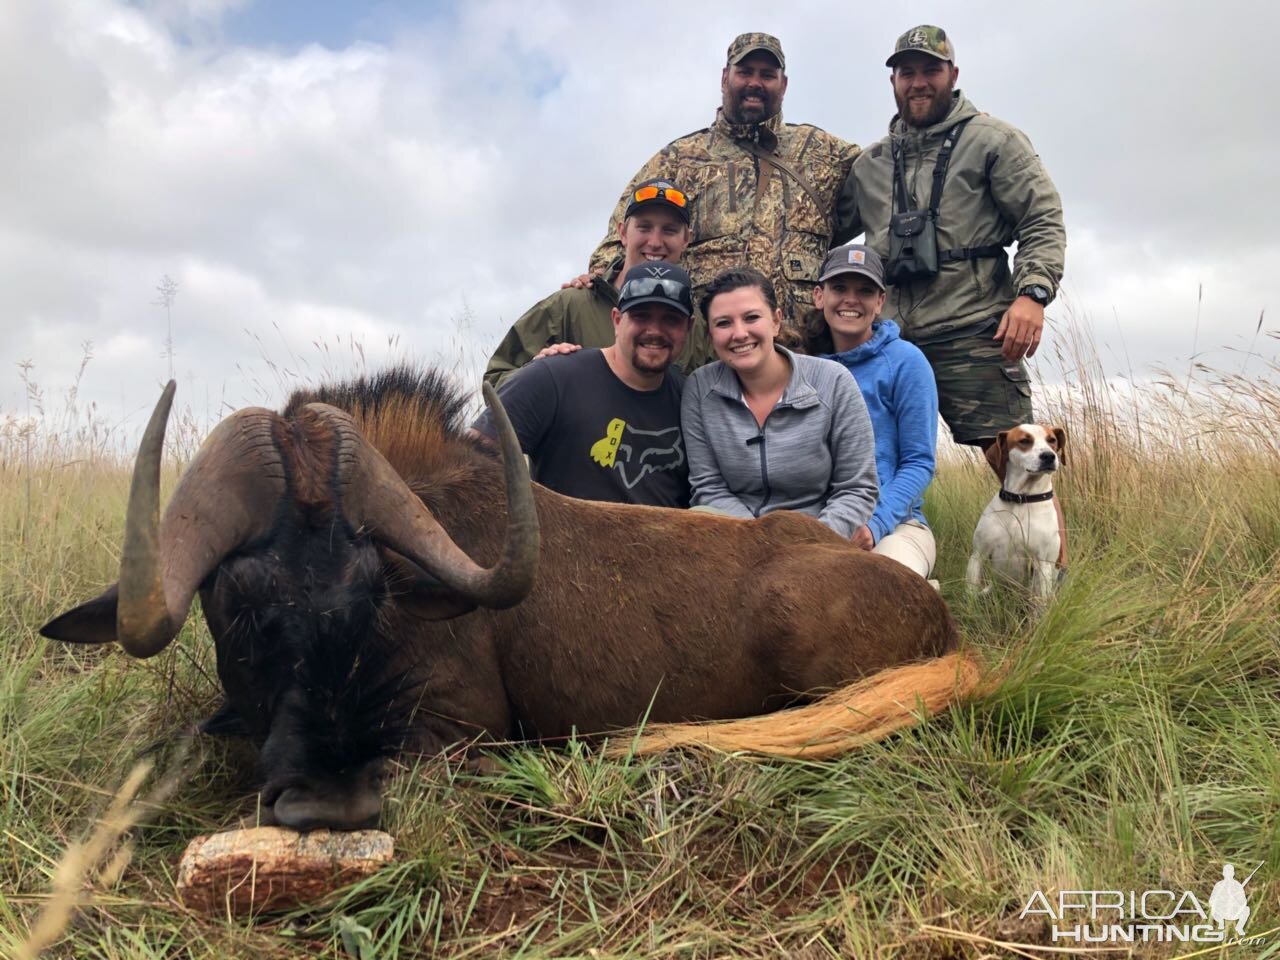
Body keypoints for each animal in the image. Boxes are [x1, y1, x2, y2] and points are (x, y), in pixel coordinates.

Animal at [962, 427, 1064, 601]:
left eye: (1052, 440)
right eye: (1024, 441)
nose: (1049, 456)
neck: (1021, 500)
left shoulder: (1042, 563)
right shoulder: (977, 555)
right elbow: (970, 595)